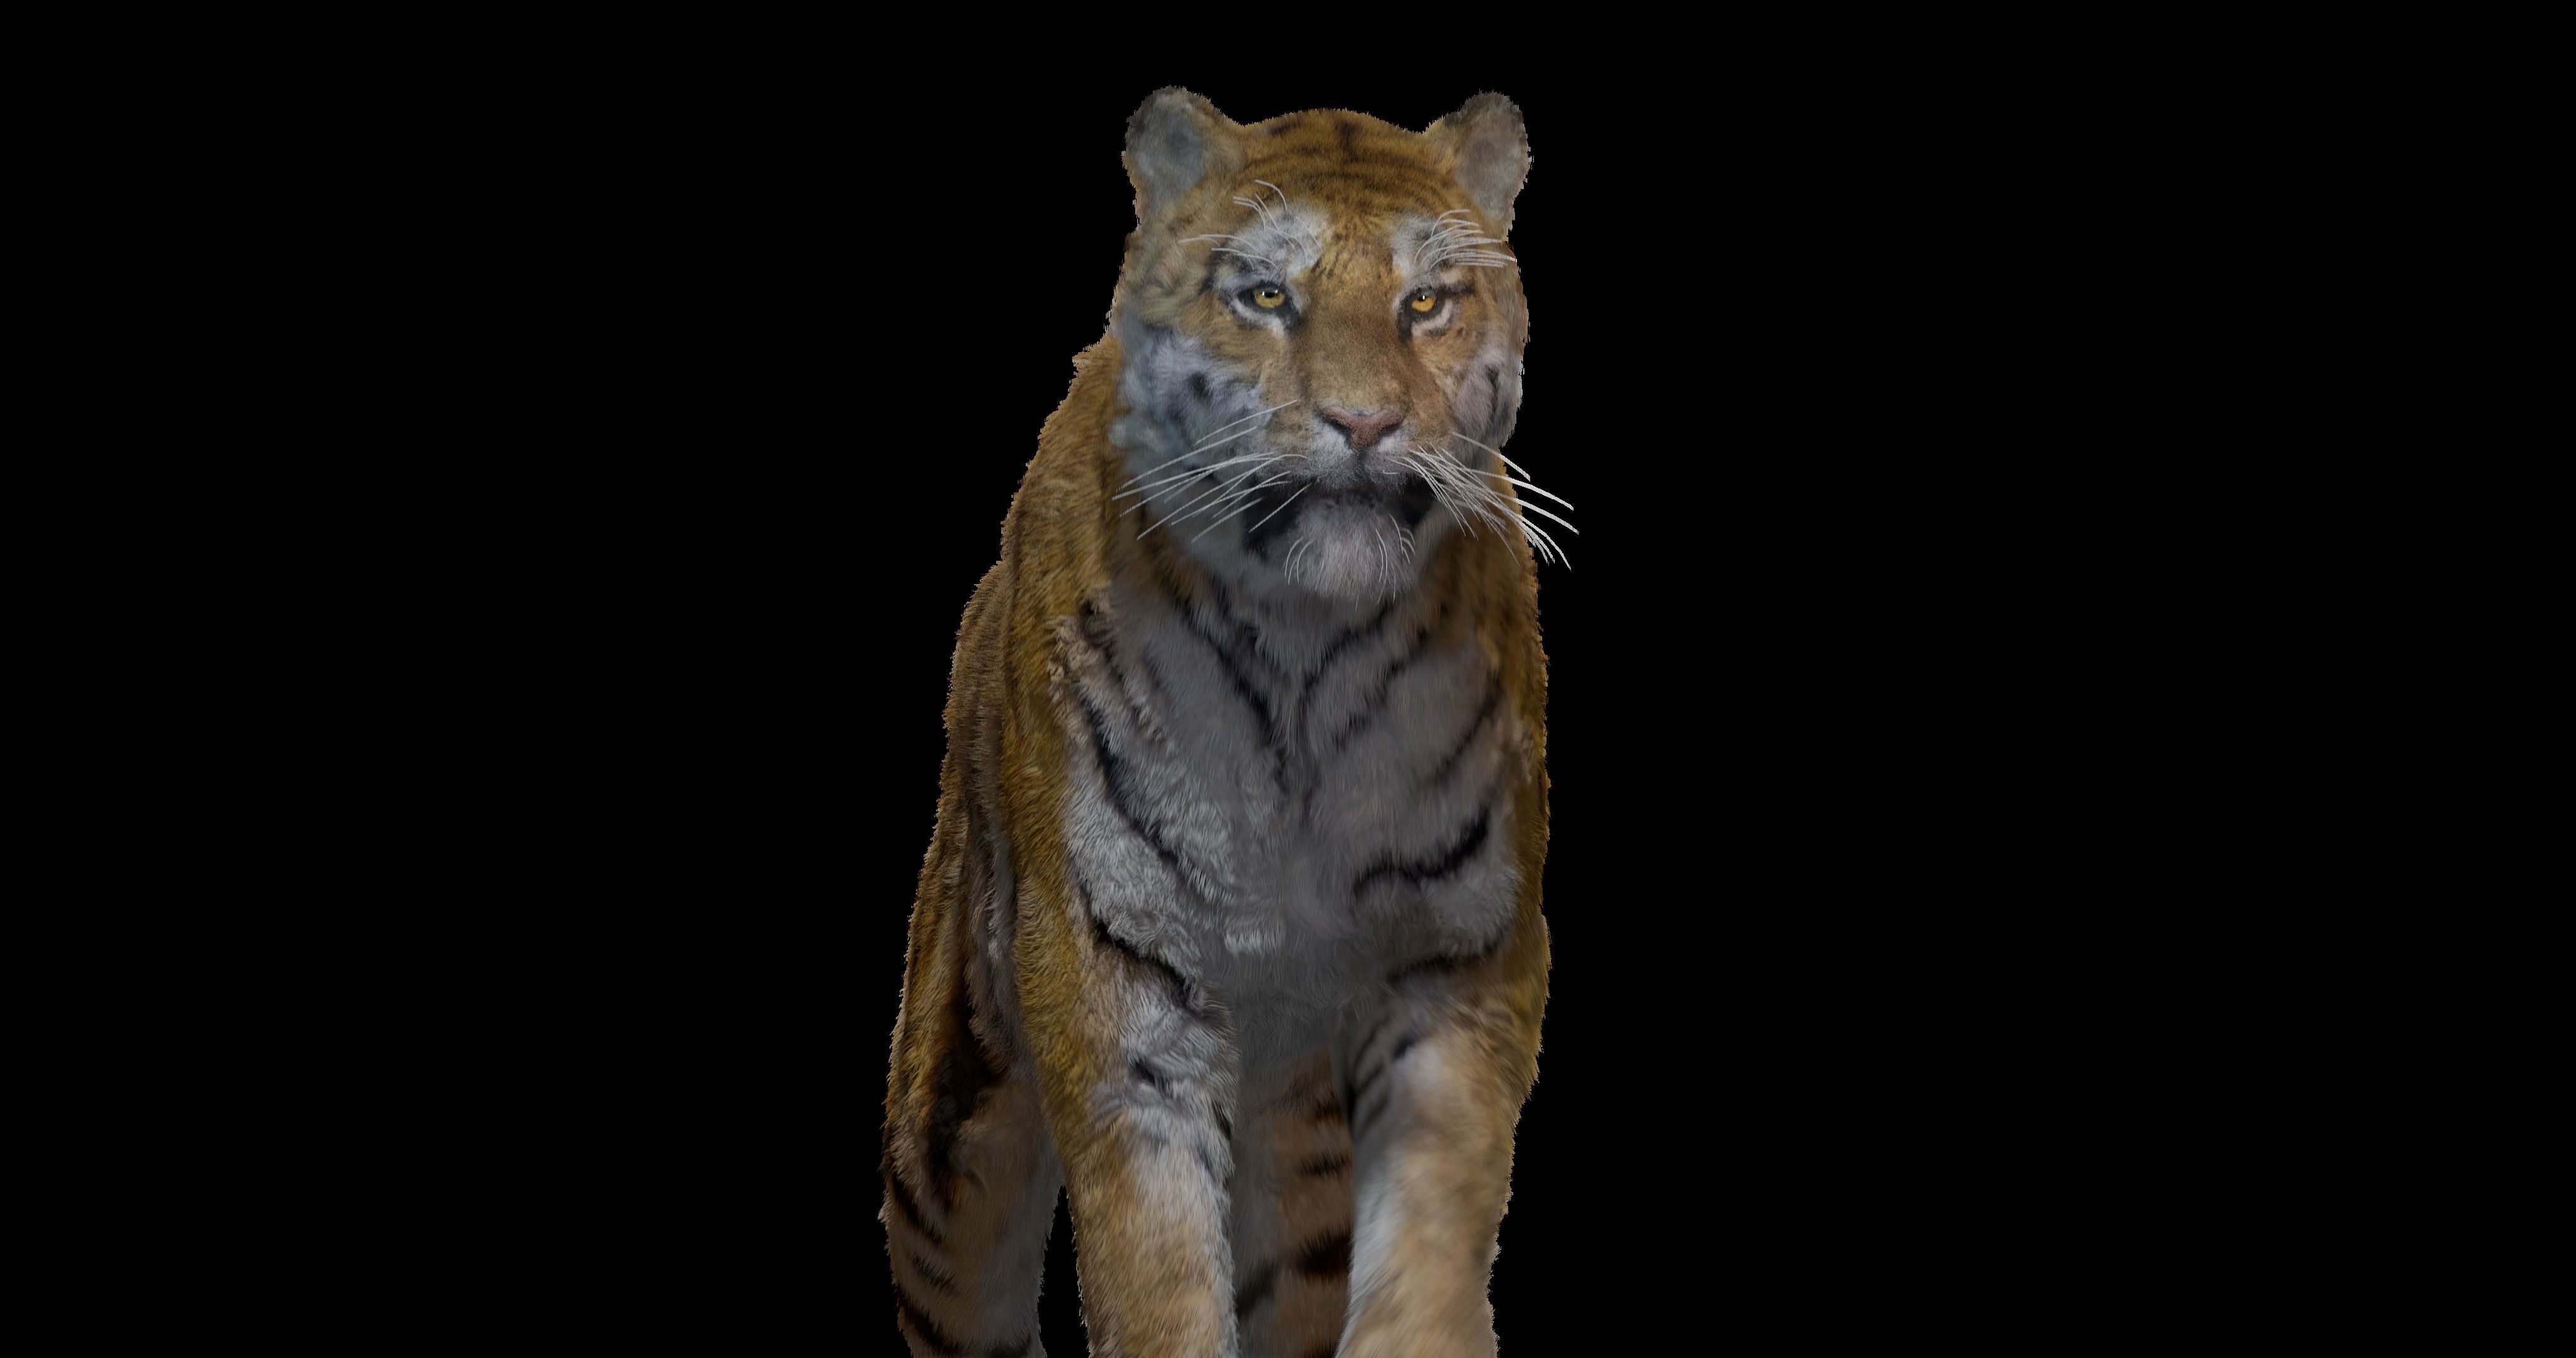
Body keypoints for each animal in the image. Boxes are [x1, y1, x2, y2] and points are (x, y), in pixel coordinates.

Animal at [880, 88, 1562, 1358]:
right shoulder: (1117, 981)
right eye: (1267, 297)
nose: (1364, 422)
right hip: (950, 1122)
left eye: (1426, 302)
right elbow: (1156, 1274)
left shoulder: (1456, 958)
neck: (1303, 655)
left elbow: (1430, 1240)